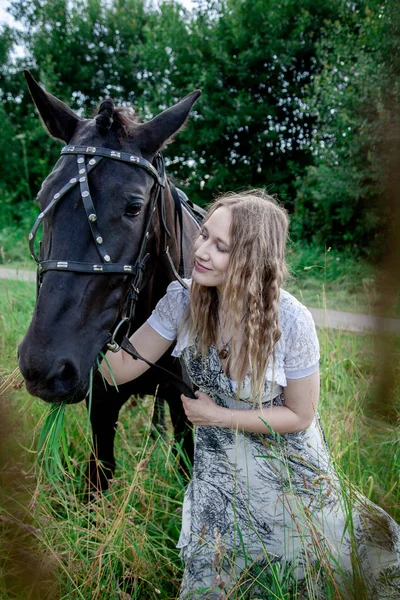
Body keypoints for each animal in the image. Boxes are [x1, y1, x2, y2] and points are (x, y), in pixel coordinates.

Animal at [18, 71, 203, 492]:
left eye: (134, 207)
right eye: (41, 198)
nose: (44, 367)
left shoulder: (187, 409)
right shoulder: (100, 406)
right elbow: (97, 479)